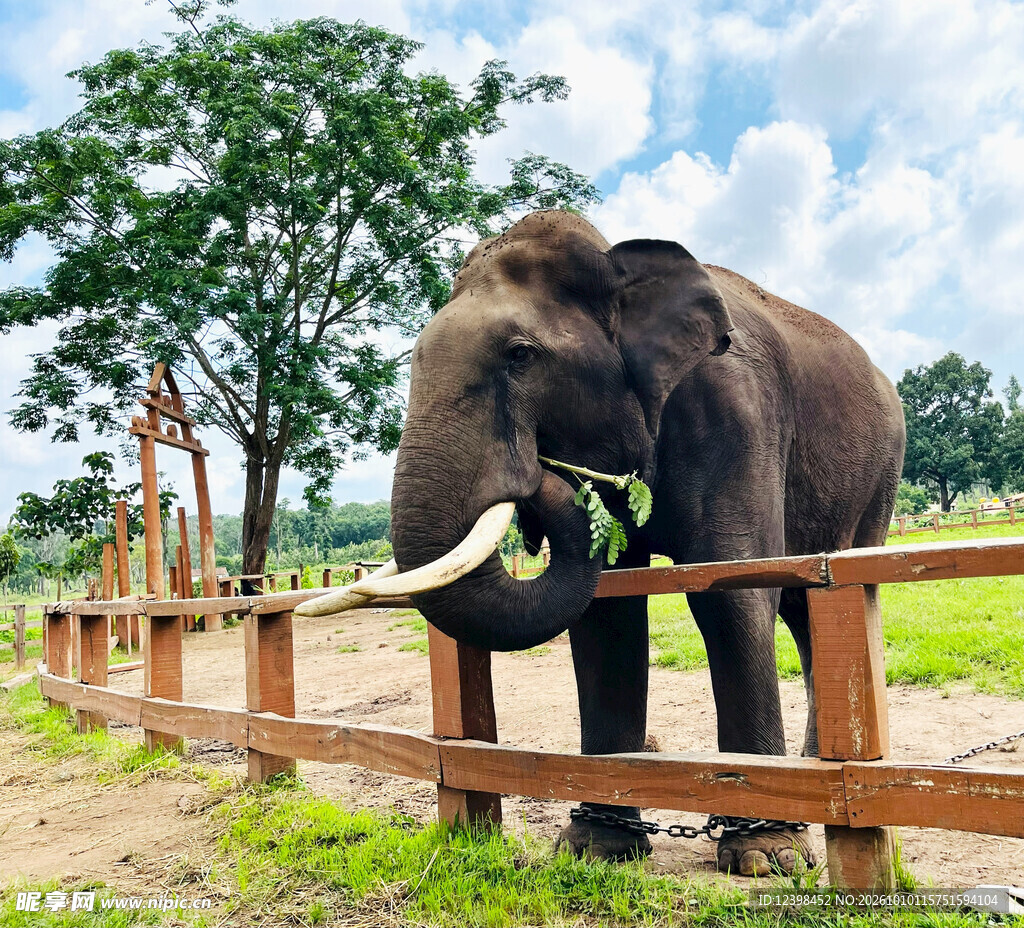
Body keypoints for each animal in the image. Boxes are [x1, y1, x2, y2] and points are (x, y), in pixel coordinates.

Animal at [387, 210, 906, 875]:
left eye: (520, 356)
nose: (540, 471)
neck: (619, 263)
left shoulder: (736, 412)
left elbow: (730, 589)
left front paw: (765, 855)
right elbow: (607, 610)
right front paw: (596, 848)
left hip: (879, 478)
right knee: (804, 610)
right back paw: (819, 771)